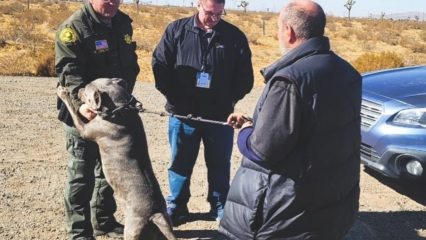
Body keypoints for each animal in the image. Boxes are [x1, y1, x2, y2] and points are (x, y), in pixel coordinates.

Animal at [57, 78, 176, 240]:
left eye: (86, 91)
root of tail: (155, 214)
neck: (120, 110)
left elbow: (74, 111)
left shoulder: (86, 130)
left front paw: (63, 93)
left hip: (132, 230)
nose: (79, 89)